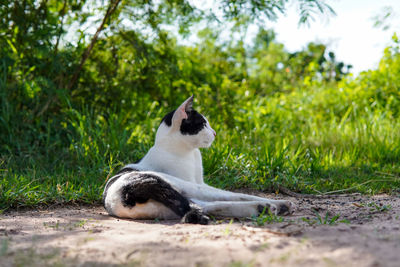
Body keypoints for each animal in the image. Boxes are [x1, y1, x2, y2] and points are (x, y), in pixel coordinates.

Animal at [101, 95, 292, 225]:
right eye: (203, 124)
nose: (215, 133)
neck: (189, 152)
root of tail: (123, 195)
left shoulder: (199, 183)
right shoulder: (197, 183)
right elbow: (239, 194)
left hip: (181, 198)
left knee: (204, 206)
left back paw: (269, 207)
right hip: (186, 187)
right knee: (217, 201)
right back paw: (268, 206)